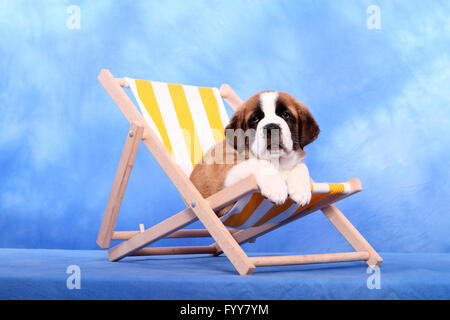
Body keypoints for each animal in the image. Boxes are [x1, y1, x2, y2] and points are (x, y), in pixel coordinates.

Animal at [190, 90, 320, 218]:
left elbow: (301, 165)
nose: (271, 127)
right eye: (255, 118)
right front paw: (275, 187)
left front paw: (301, 189)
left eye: (286, 114)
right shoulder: (225, 184)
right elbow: (259, 163)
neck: (277, 161)